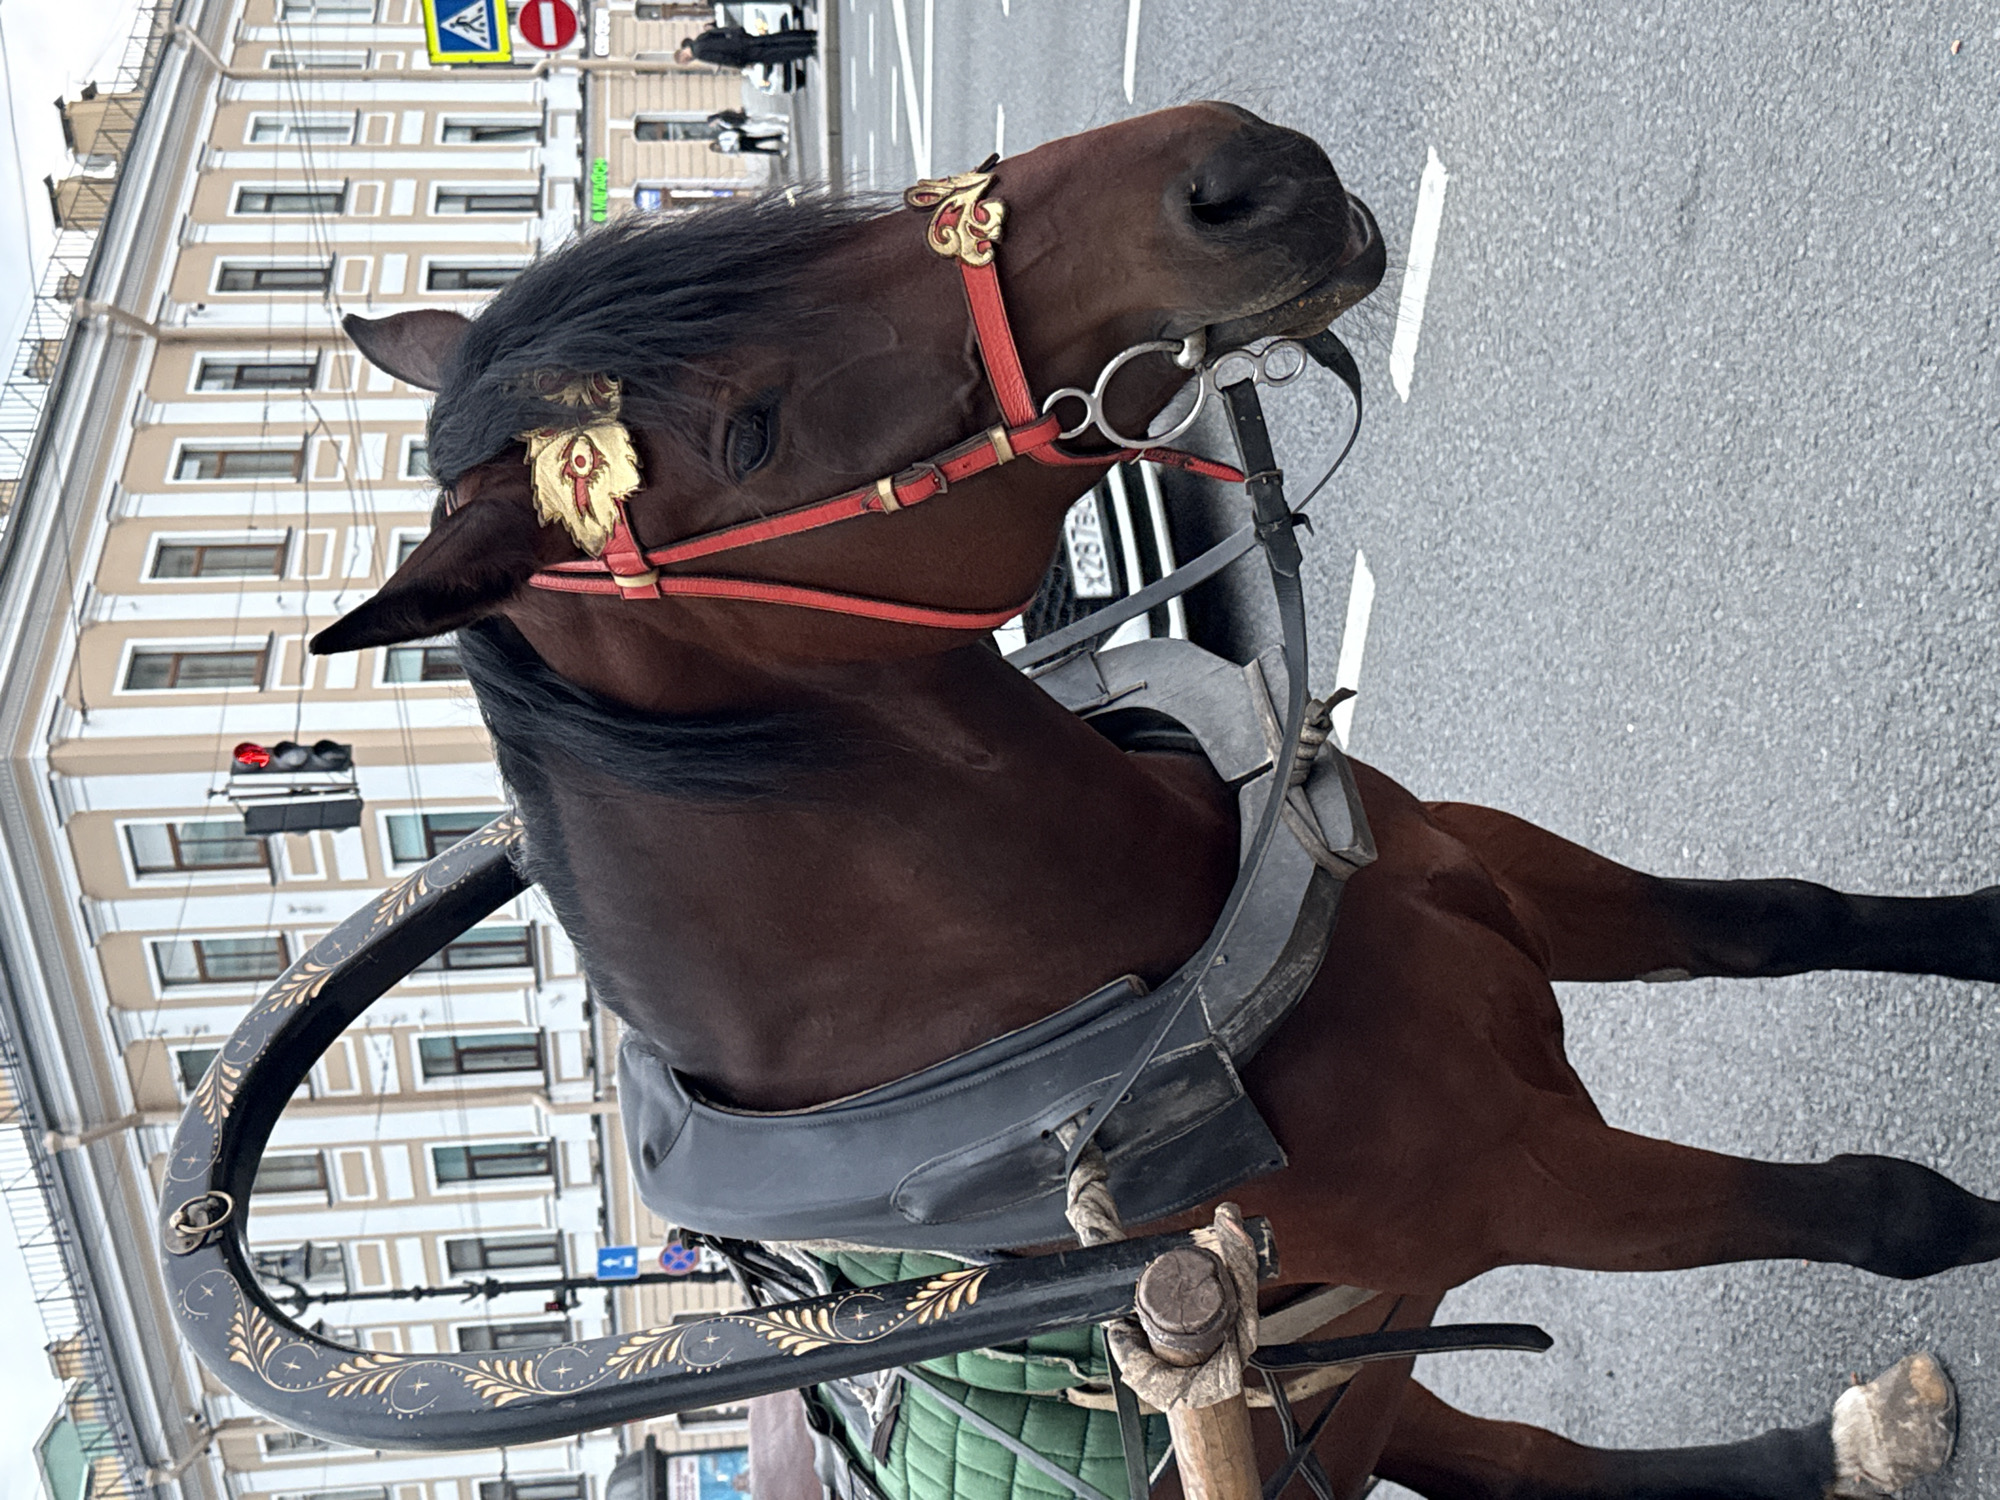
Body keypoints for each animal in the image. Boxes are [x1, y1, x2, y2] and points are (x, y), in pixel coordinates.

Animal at [312, 105, 1996, 1499]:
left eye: (788, 232)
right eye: (751, 433)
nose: (1235, 167)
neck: (1120, 969)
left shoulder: (1493, 873)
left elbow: (1779, 920)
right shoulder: (1533, 1189)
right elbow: (1888, 1215)